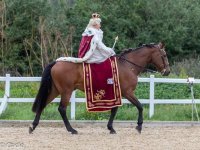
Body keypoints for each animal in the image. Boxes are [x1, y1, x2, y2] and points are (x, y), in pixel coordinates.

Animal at [29, 42, 170, 135]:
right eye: (164, 55)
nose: (167, 71)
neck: (128, 65)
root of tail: (56, 62)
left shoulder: (117, 94)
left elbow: (114, 110)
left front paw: (111, 128)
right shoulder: (128, 92)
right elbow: (140, 106)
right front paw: (139, 126)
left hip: (55, 90)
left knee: (42, 104)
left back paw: (33, 126)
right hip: (66, 91)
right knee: (62, 109)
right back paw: (71, 129)